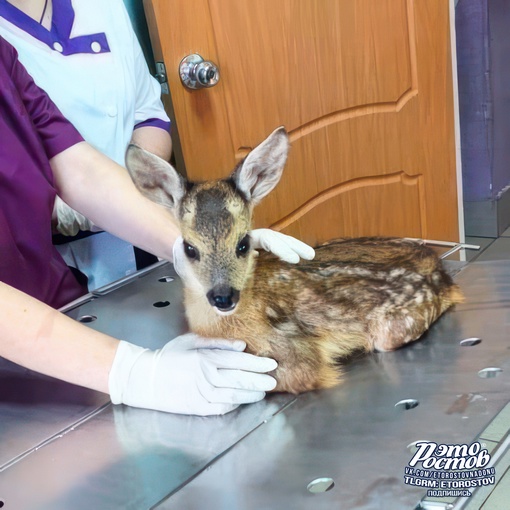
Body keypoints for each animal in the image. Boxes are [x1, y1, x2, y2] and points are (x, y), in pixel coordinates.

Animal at [126, 127, 462, 394]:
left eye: (244, 243)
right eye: (189, 248)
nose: (223, 296)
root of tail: (439, 269)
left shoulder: (296, 355)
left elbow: (290, 376)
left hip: (393, 329)